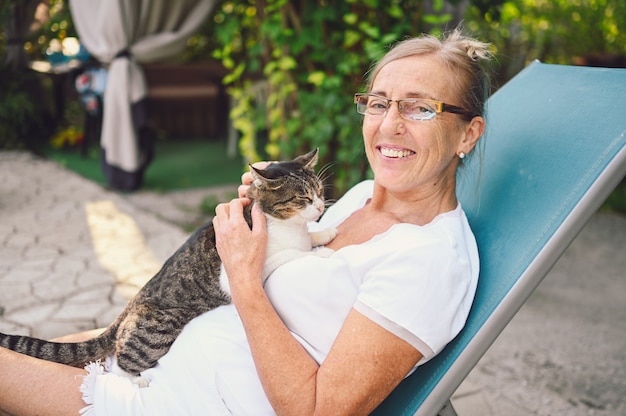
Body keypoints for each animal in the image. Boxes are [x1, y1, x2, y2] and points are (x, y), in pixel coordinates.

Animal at [0, 149, 334, 386]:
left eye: (319, 191)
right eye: (304, 197)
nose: (320, 206)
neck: (285, 225)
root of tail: (131, 304)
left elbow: (307, 239)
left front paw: (324, 234)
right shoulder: (240, 270)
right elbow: (291, 255)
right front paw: (319, 254)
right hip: (159, 328)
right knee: (120, 362)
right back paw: (136, 382)